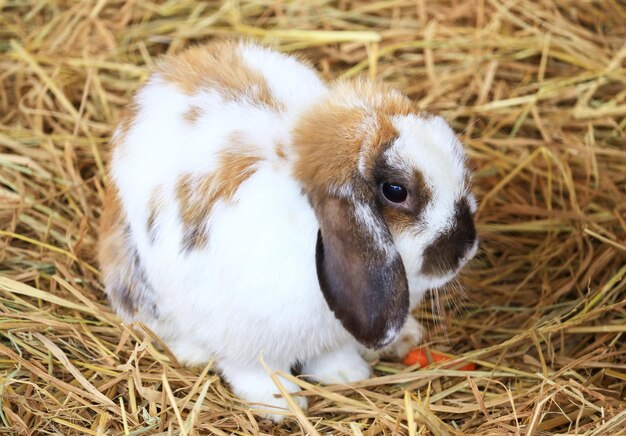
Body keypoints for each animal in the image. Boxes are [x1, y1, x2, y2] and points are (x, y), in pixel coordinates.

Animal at [98, 40, 478, 422]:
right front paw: (282, 405)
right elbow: (254, 372)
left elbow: (332, 355)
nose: (466, 249)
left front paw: (346, 374)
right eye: (396, 191)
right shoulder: (244, 343)